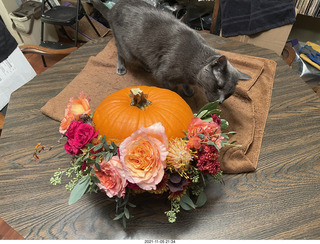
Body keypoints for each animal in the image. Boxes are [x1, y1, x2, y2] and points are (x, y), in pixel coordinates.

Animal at [91, 0, 251, 102]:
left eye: (229, 94)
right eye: (219, 87)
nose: (221, 102)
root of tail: (114, 8)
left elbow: (185, 84)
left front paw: (188, 90)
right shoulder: (164, 76)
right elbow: (172, 89)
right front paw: (178, 95)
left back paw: (147, 66)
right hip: (127, 49)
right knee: (120, 51)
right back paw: (121, 67)